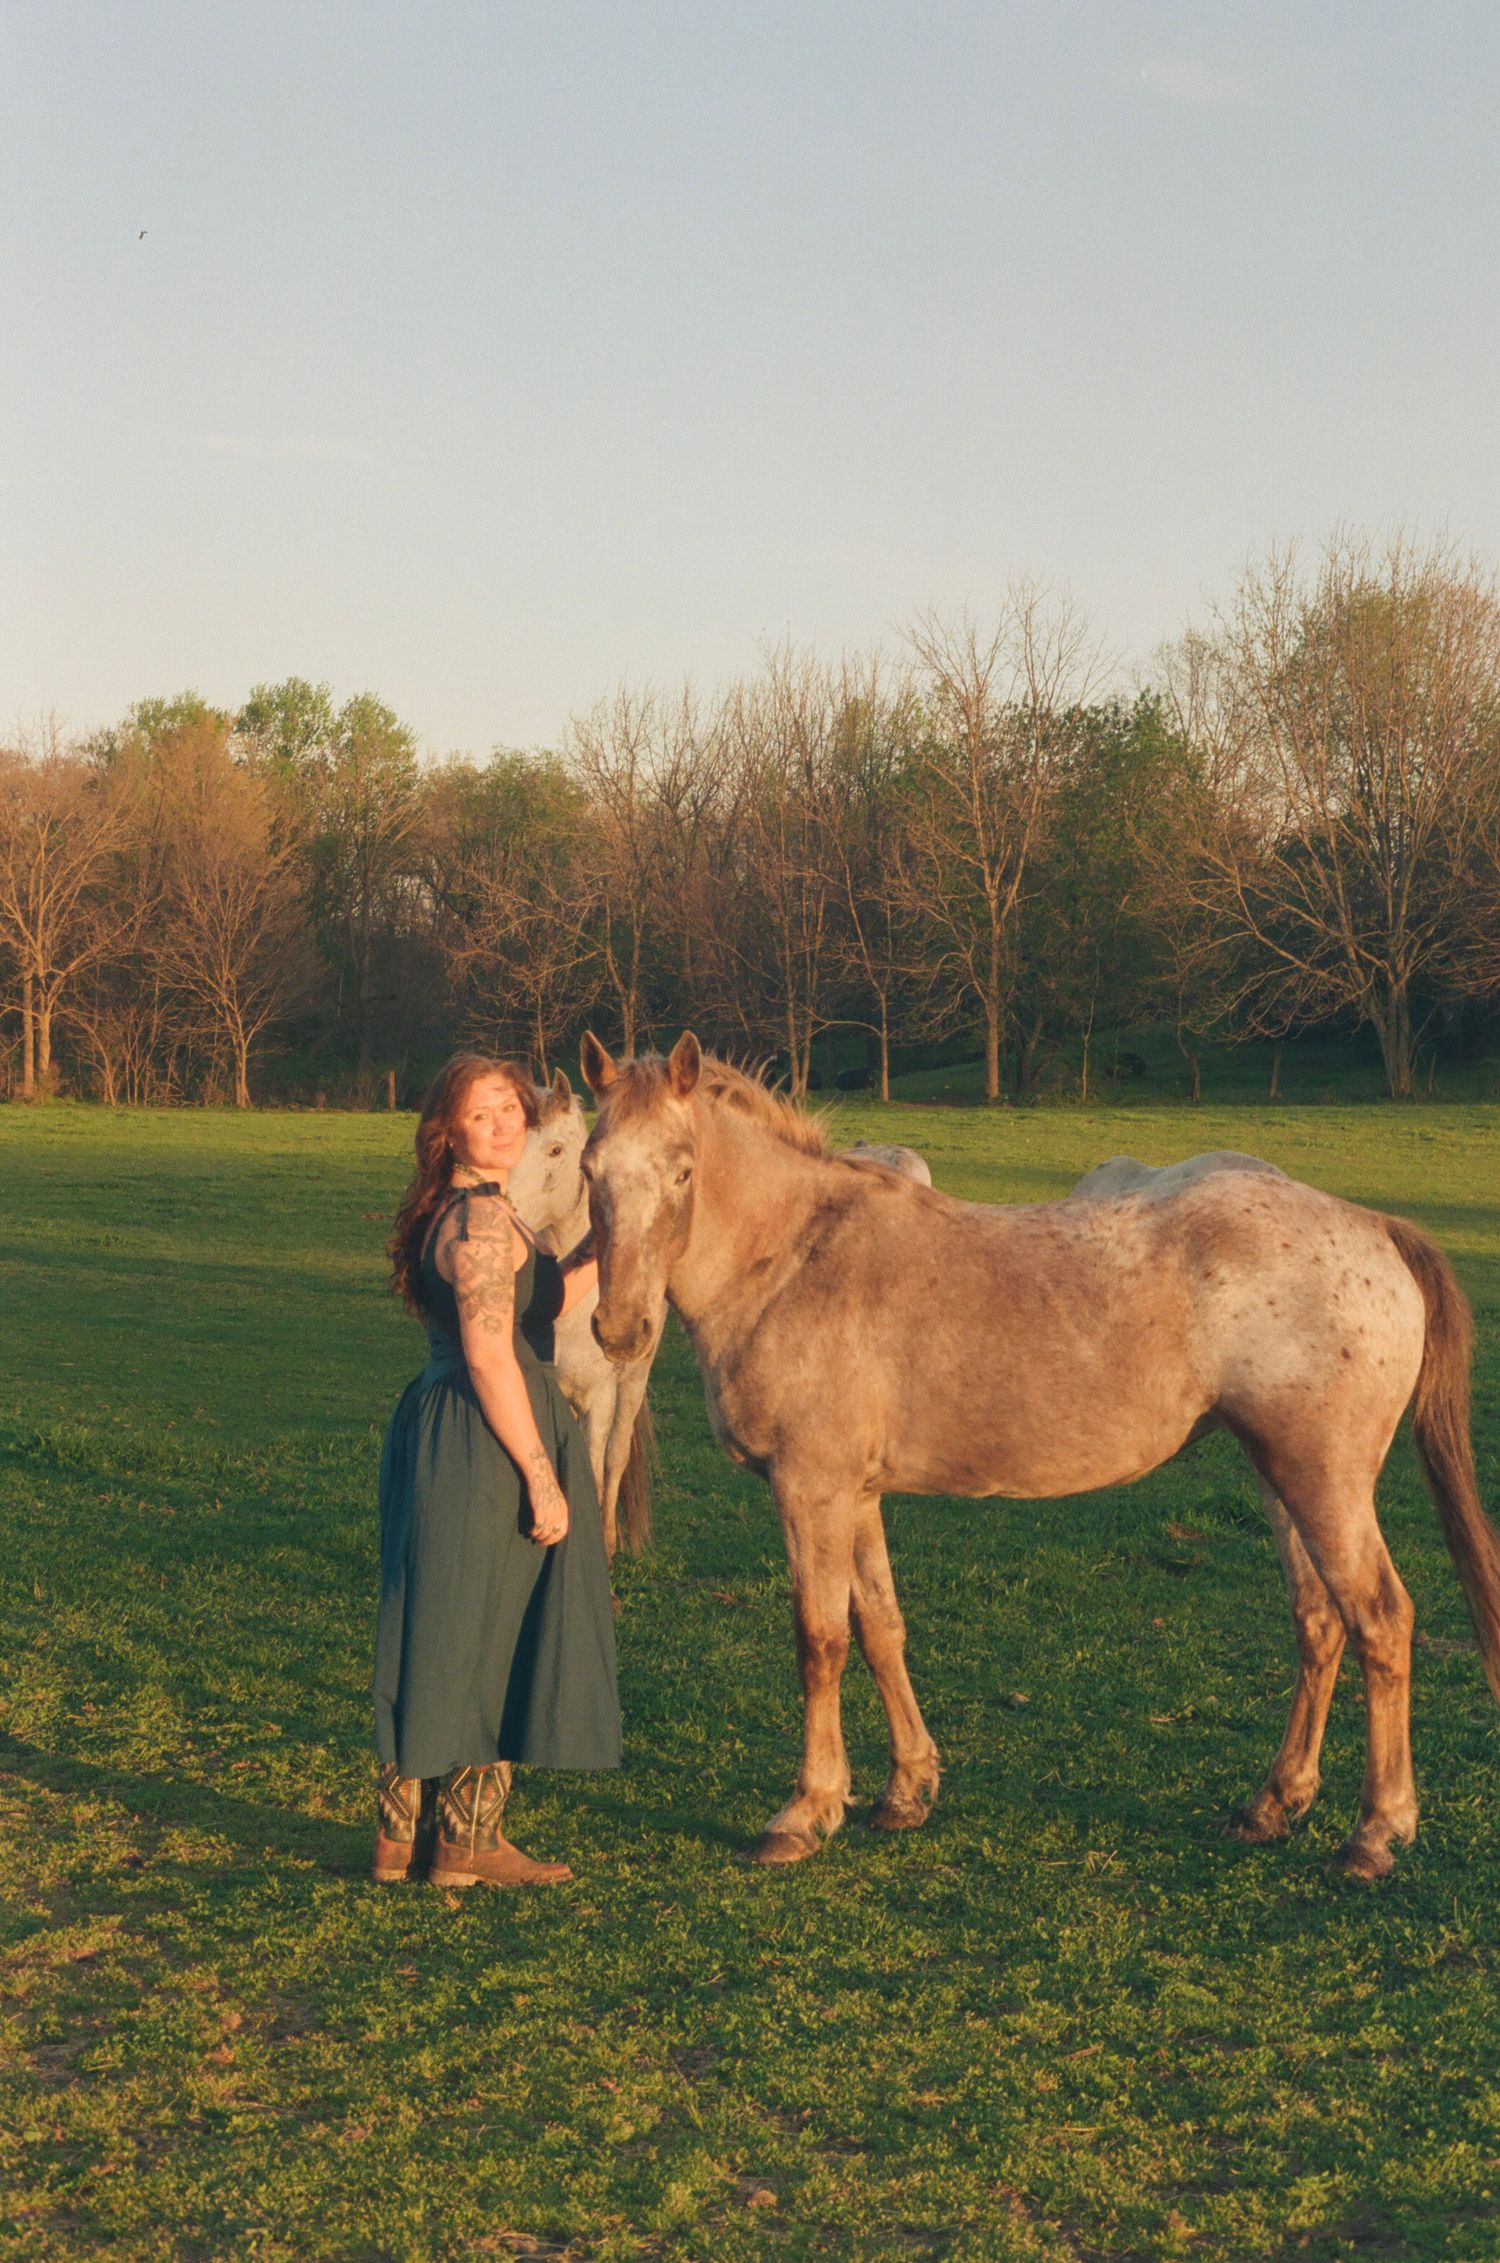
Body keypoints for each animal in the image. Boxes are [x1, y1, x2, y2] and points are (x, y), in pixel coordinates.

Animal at [578, 1031, 1500, 1879]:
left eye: (683, 1170)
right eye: (589, 1168)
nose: (619, 1329)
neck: (796, 1257)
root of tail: (1373, 1225)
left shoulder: (812, 1489)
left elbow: (820, 1640)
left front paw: (806, 1810)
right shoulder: (856, 1494)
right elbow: (879, 1626)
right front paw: (906, 1788)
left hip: (1324, 1482)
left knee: (1382, 1619)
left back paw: (1377, 1831)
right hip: (1281, 1478)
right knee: (1318, 1620)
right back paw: (1273, 1803)